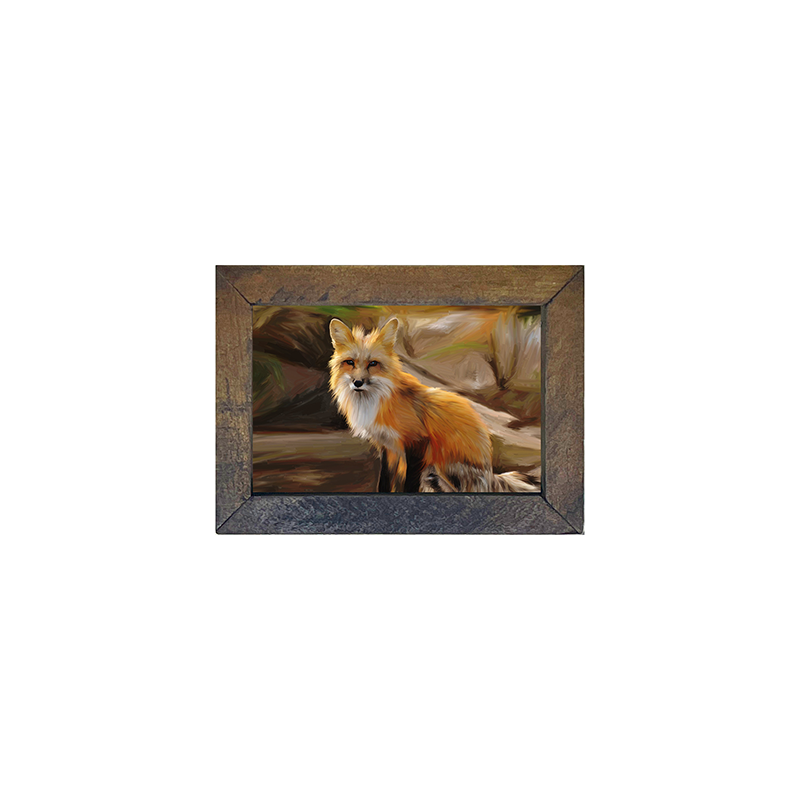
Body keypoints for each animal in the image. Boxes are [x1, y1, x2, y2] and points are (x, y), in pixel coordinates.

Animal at [328, 317, 537, 493]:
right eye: (350, 362)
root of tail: (490, 472)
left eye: (373, 363)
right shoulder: (388, 447)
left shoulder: (418, 442)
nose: (358, 383)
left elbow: (410, 484)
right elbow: (385, 483)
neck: (376, 402)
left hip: (443, 466)